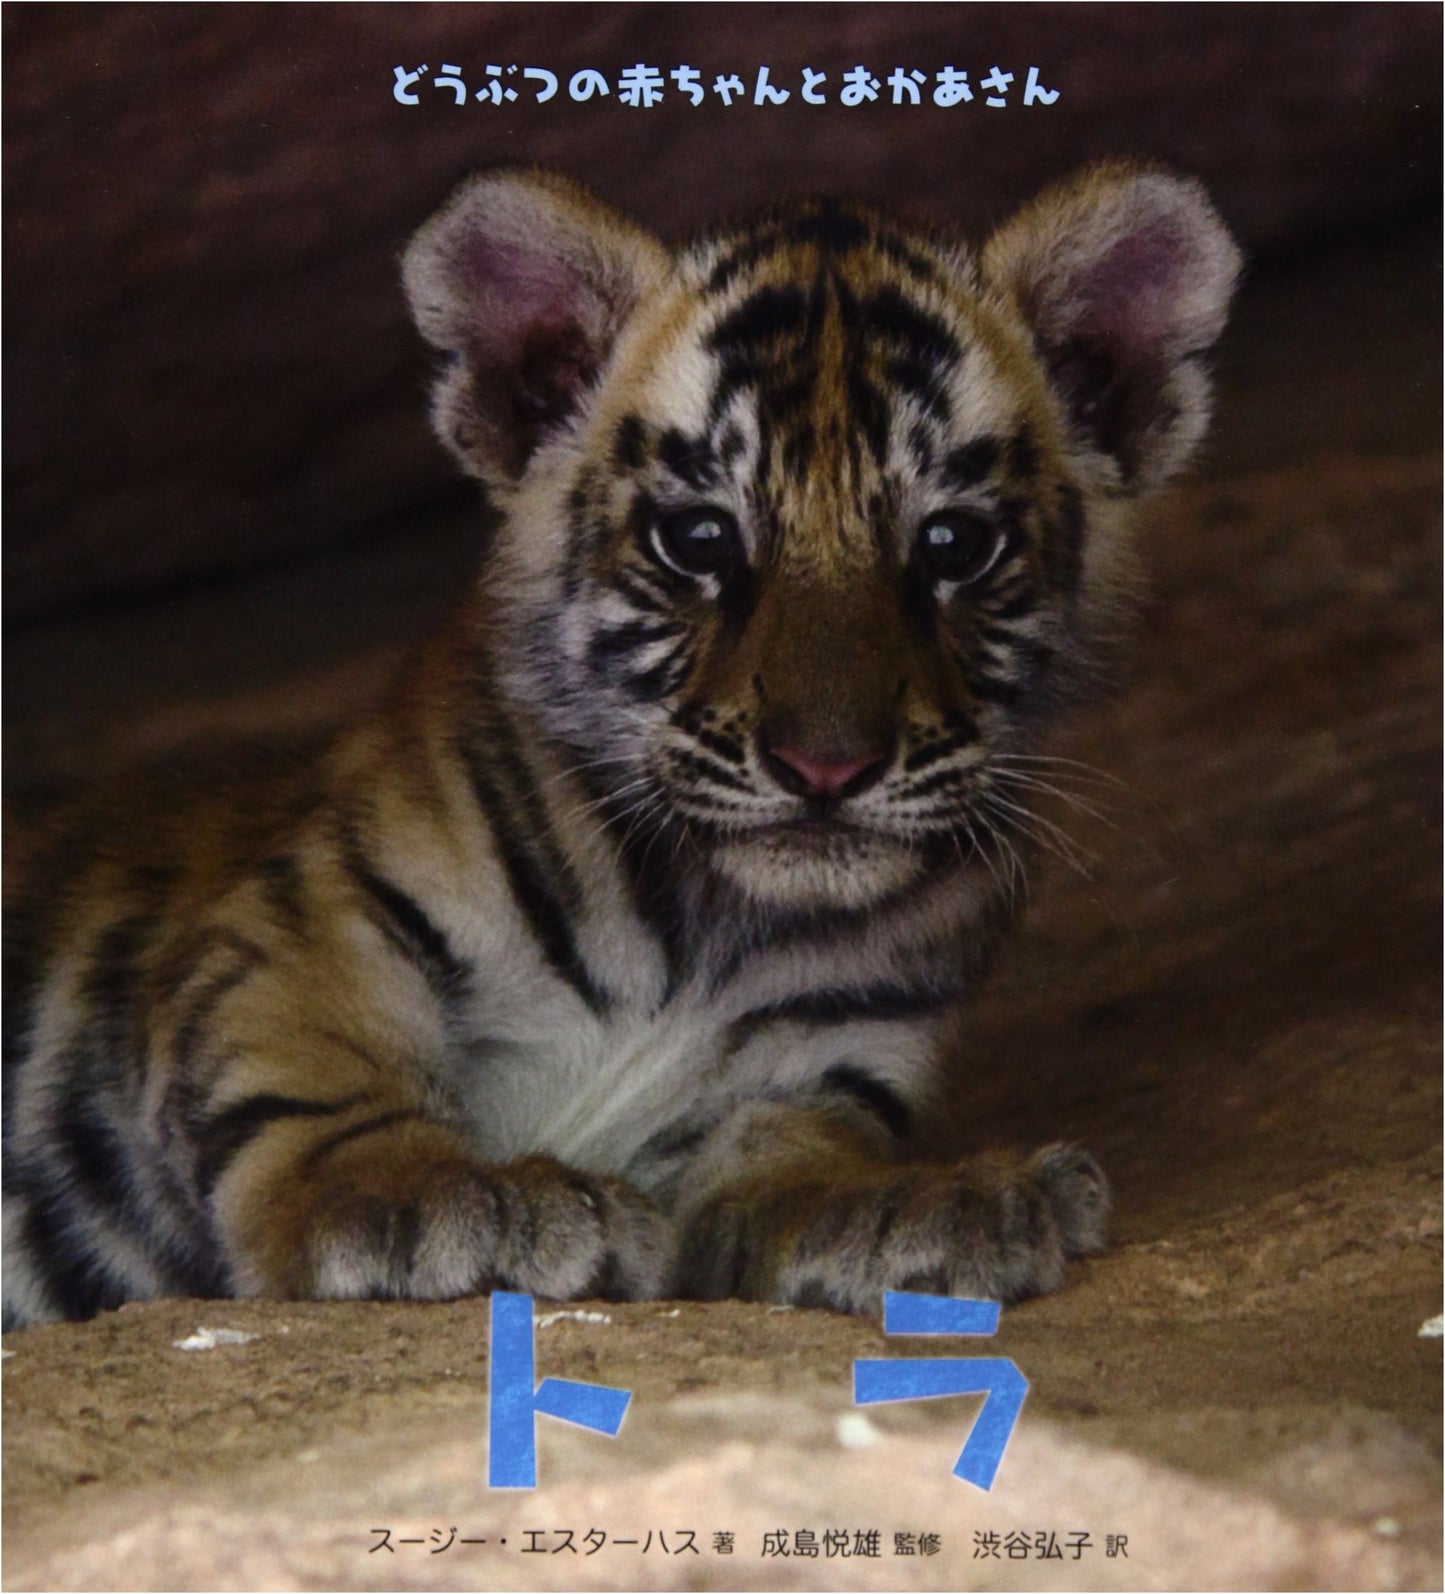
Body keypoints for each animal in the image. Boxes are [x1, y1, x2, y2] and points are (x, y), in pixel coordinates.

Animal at [2, 163, 1239, 1328]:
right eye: (697, 538)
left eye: (951, 545)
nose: (826, 769)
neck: (705, 934)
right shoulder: (297, 918)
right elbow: (313, 1073)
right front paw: (444, 1198)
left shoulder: (822, 1067)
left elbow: (799, 1171)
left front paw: (940, 1201)